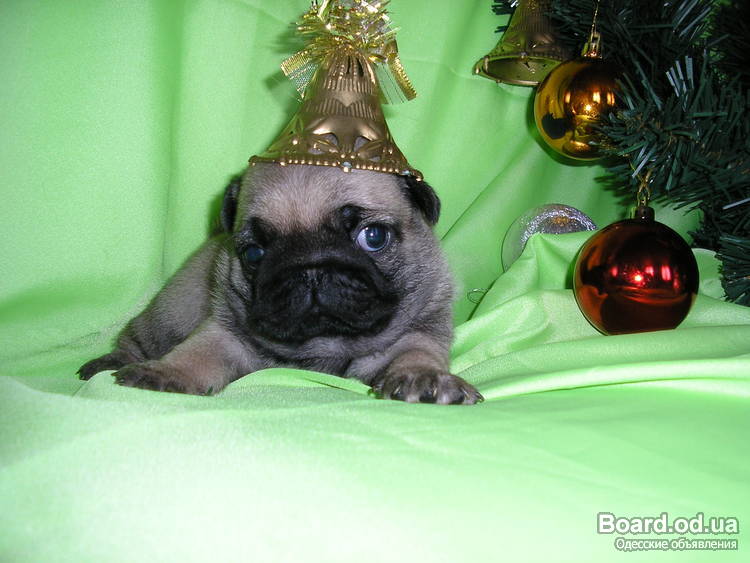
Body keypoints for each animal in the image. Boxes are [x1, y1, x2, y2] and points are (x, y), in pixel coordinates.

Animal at [78, 164, 482, 404]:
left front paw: (425, 380)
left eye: (374, 237)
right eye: (255, 253)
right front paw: (166, 373)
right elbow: (195, 353)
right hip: (169, 313)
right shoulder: (225, 333)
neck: (325, 341)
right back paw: (109, 362)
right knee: (138, 341)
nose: (310, 269)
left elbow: (415, 353)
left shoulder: (419, 329)